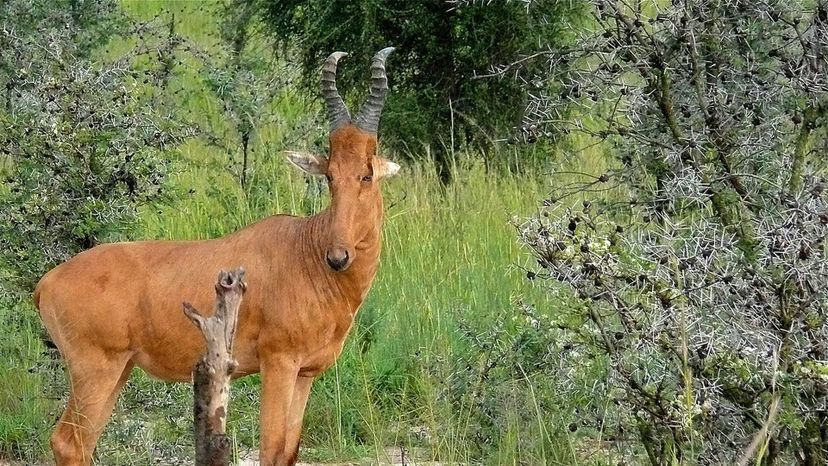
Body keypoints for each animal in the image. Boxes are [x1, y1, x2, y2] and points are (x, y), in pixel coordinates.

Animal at [36, 48, 402, 466]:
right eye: (330, 174)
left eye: (366, 173)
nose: (338, 257)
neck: (304, 248)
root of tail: (47, 283)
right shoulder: (279, 363)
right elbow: (271, 448)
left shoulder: (306, 374)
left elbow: (289, 450)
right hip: (96, 370)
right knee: (69, 441)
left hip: (119, 369)